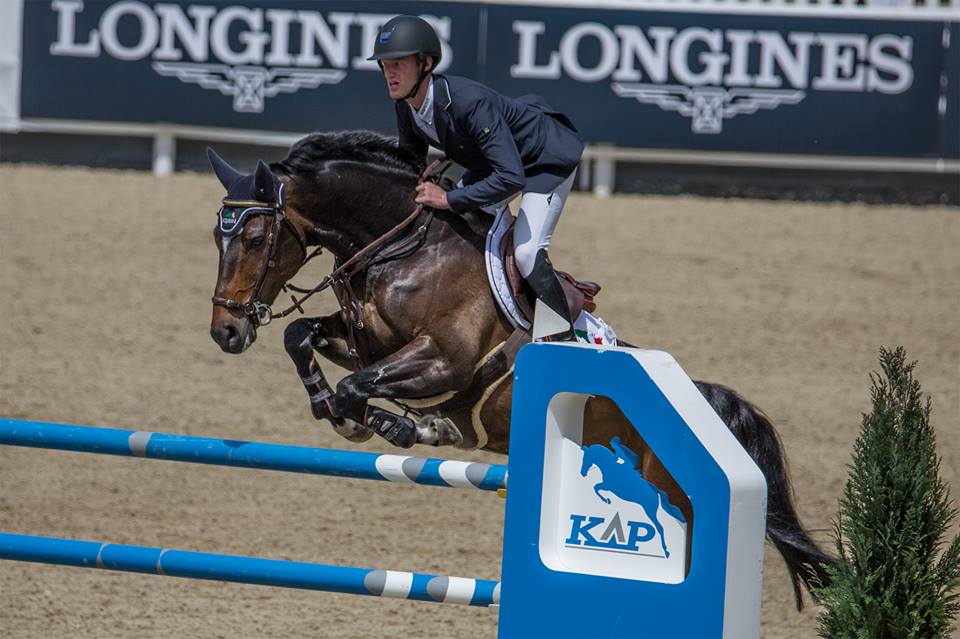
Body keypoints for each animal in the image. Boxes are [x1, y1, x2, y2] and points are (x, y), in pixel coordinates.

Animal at [207, 130, 833, 608]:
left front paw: (396, 426)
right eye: (217, 235)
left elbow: (357, 387)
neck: (402, 249)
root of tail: (705, 400)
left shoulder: (444, 359)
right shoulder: (364, 341)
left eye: (256, 237)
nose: (226, 332)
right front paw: (337, 409)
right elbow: (301, 338)